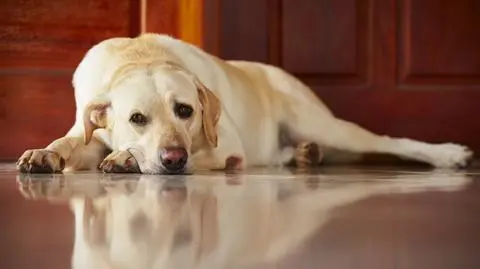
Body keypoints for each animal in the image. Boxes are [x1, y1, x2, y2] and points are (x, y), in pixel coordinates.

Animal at [16, 33, 474, 174]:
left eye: (186, 111)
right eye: (137, 118)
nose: (173, 158)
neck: (139, 55)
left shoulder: (226, 149)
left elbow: (206, 154)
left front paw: (127, 159)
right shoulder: (88, 130)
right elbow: (70, 142)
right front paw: (45, 153)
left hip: (323, 123)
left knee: (390, 142)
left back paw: (449, 154)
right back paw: (304, 156)